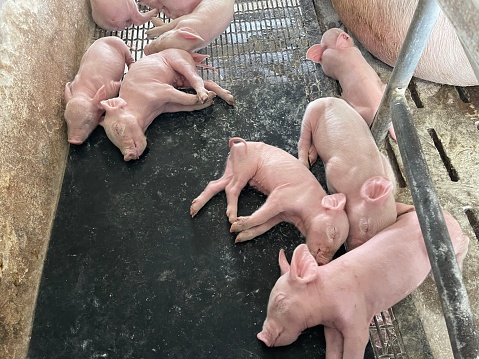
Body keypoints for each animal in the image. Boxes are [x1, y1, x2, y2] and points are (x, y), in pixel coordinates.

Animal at [189, 138, 350, 264]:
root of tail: (236, 146)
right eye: (333, 233)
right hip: (245, 167)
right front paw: (235, 227)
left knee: (215, 184)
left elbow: (264, 226)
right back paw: (232, 217)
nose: (323, 263)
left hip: (232, 169)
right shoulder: (280, 196)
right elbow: (261, 216)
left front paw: (239, 238)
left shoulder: (281, 216)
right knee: (231, 188)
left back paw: (193, 210)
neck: (300, 217)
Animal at [256, 202, 470, 358]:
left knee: (466, 241)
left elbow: (356, 346)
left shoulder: (357, 319)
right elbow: (333, 350)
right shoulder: (331, 329)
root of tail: (445, 214)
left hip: (453, 242)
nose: (261, 337)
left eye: (280, 301)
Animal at [300, 97, 398, 252]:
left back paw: (312, 157)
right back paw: (304, 163)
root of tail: (328, 98)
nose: (352, 249)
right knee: (303, 138)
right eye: (365, 226)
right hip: (311, 113)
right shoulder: (333, 169)